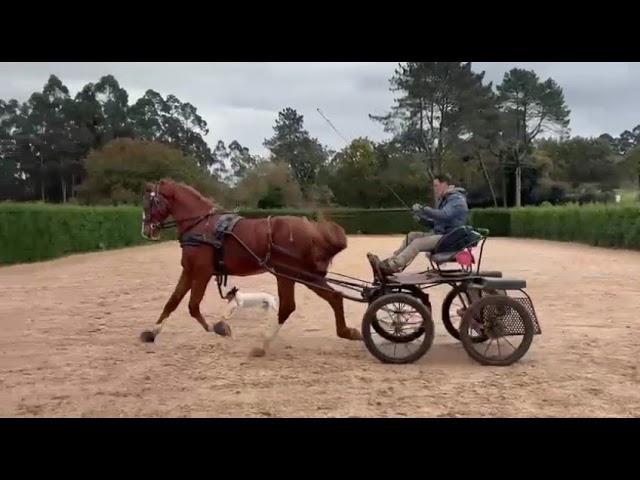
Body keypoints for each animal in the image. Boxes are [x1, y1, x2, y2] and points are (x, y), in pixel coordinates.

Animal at [139, 179, 363, 357]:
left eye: (149, 203)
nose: (146, 231)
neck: (201, 226)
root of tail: (312, 229)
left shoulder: (202, 272)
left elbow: (193, 306)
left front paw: (218, 328)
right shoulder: (188, 270)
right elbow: (173, 301)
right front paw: (153, 332)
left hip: (288, 274)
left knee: (288, 306)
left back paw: (263, 344)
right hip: (305, 275)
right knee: (334, 297)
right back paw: (349, 332)